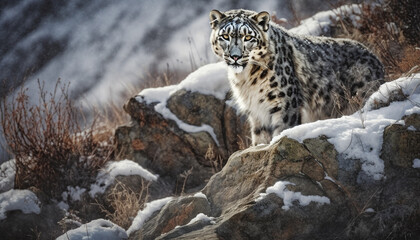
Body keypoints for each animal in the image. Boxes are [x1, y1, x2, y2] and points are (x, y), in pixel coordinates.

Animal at [210, 8, 384, 144]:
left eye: (248, 37)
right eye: (225, 36)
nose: (235, 56)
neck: (247, 78)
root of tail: (375, 58)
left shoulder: (285, 103)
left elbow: (281, 131)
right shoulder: (256, 111)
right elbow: (260, 138)